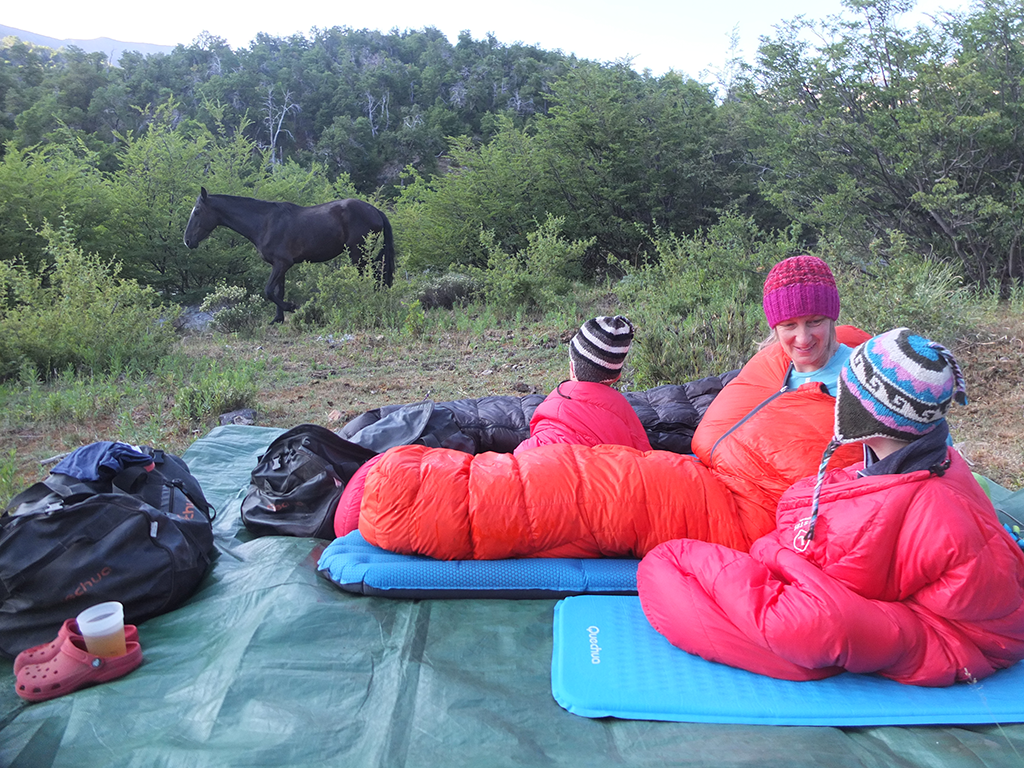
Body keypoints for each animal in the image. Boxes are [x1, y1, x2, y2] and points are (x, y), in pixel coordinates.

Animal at [182, 191, 393, 325]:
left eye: (197, 211)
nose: (187, 241)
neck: (265, 223)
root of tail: (375, 210)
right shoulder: (279, 266)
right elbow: (278, 291)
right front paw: (278, 319)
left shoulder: (282, 264)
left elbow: (268, 291)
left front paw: (291, 307)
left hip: (358, 254)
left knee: (370, 277)